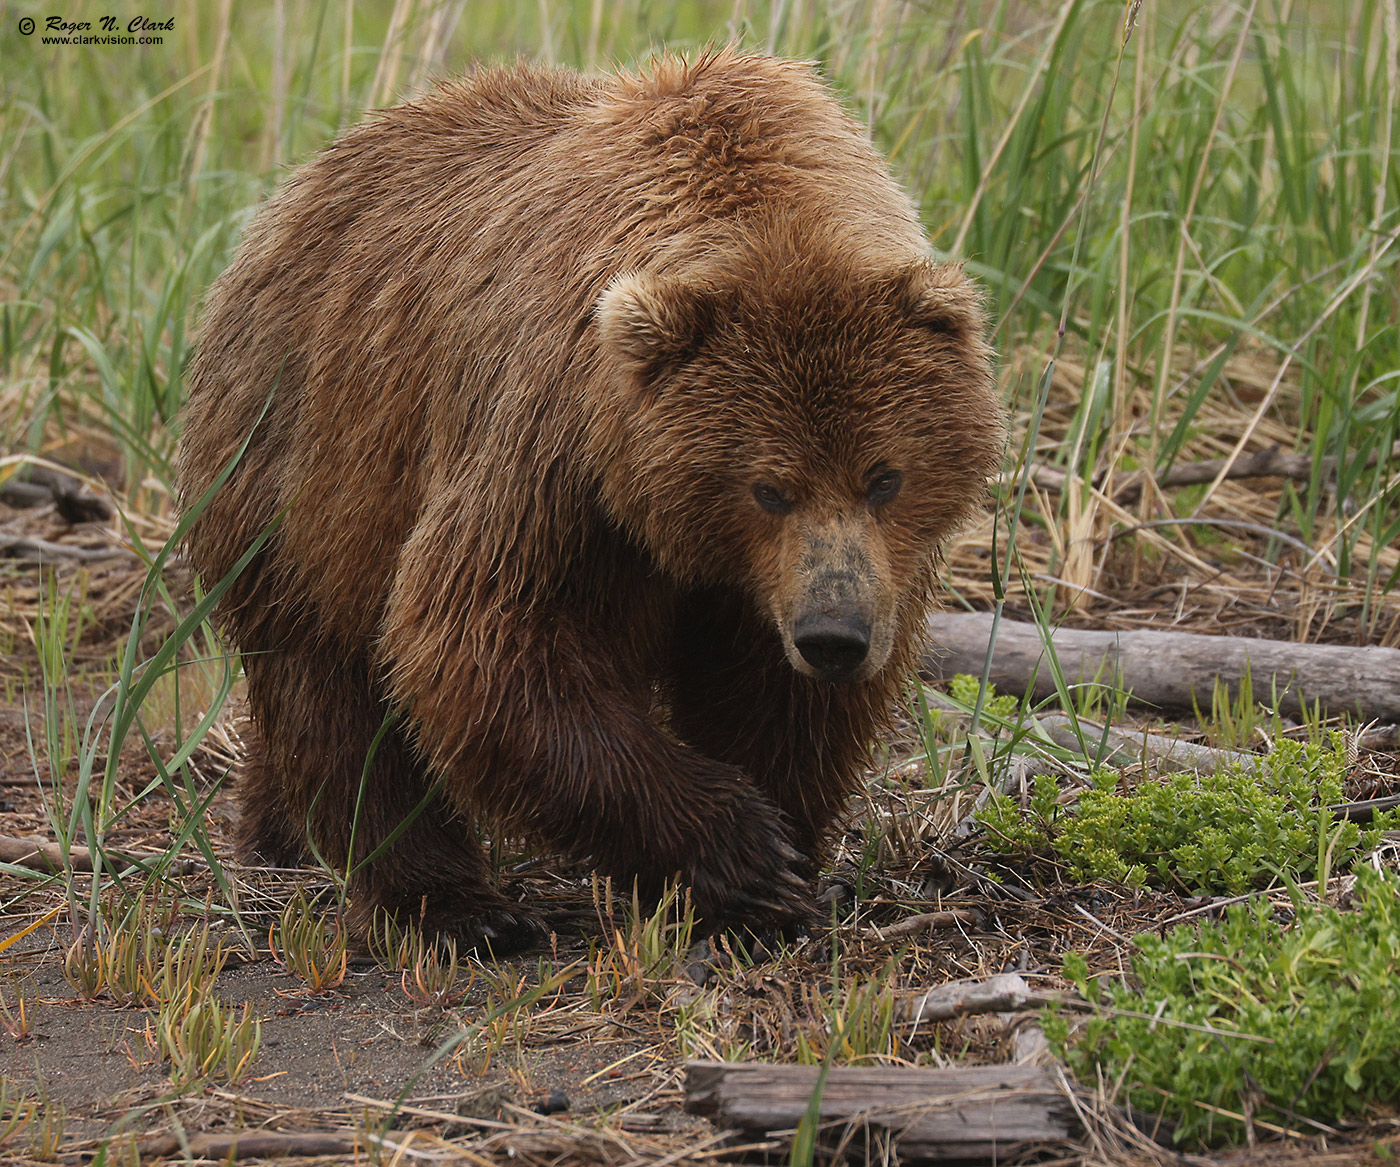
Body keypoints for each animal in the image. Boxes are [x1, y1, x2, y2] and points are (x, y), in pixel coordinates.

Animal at [177, 50, 1008, 951]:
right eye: (768, 487)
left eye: (884, 476)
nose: (834, 635)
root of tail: (285, 203)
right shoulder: (557, 449)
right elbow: (484, 640)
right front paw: (743, 852)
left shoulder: (788, 573)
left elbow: (772, 694)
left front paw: (779, 864)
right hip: (305, 467)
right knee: (337, 692)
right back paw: (454, 906)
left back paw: (274, 833)